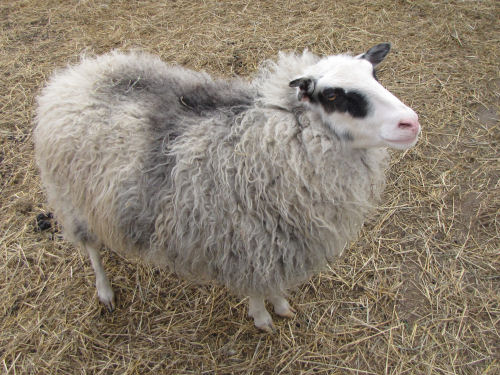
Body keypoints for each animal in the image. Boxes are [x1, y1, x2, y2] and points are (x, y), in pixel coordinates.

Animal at [33, 43, 420, 332]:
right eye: (334, 96)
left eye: (375, 75)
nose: (411, 123)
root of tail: (73, 75)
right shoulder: (247, 240)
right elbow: (255, 286)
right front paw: (263, 318)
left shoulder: (277, 239)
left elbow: (273, 282)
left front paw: (281, 305)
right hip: (70, 197)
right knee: (91, 249)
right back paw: (105, 292)